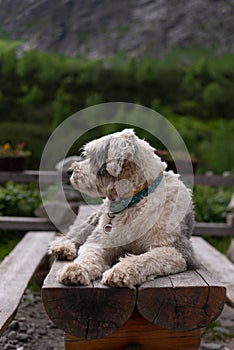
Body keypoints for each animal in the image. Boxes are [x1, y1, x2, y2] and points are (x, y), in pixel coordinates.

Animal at [50, 129, 197, 288]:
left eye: (93, 156)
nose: (69, 171)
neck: (136, 199)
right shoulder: (101, 240)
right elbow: (89, 254)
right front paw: (74, 270)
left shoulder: (178, 250)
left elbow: (147, 258)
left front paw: (119, 272)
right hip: (97, 218)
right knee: (81, 231)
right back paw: (63, 247)